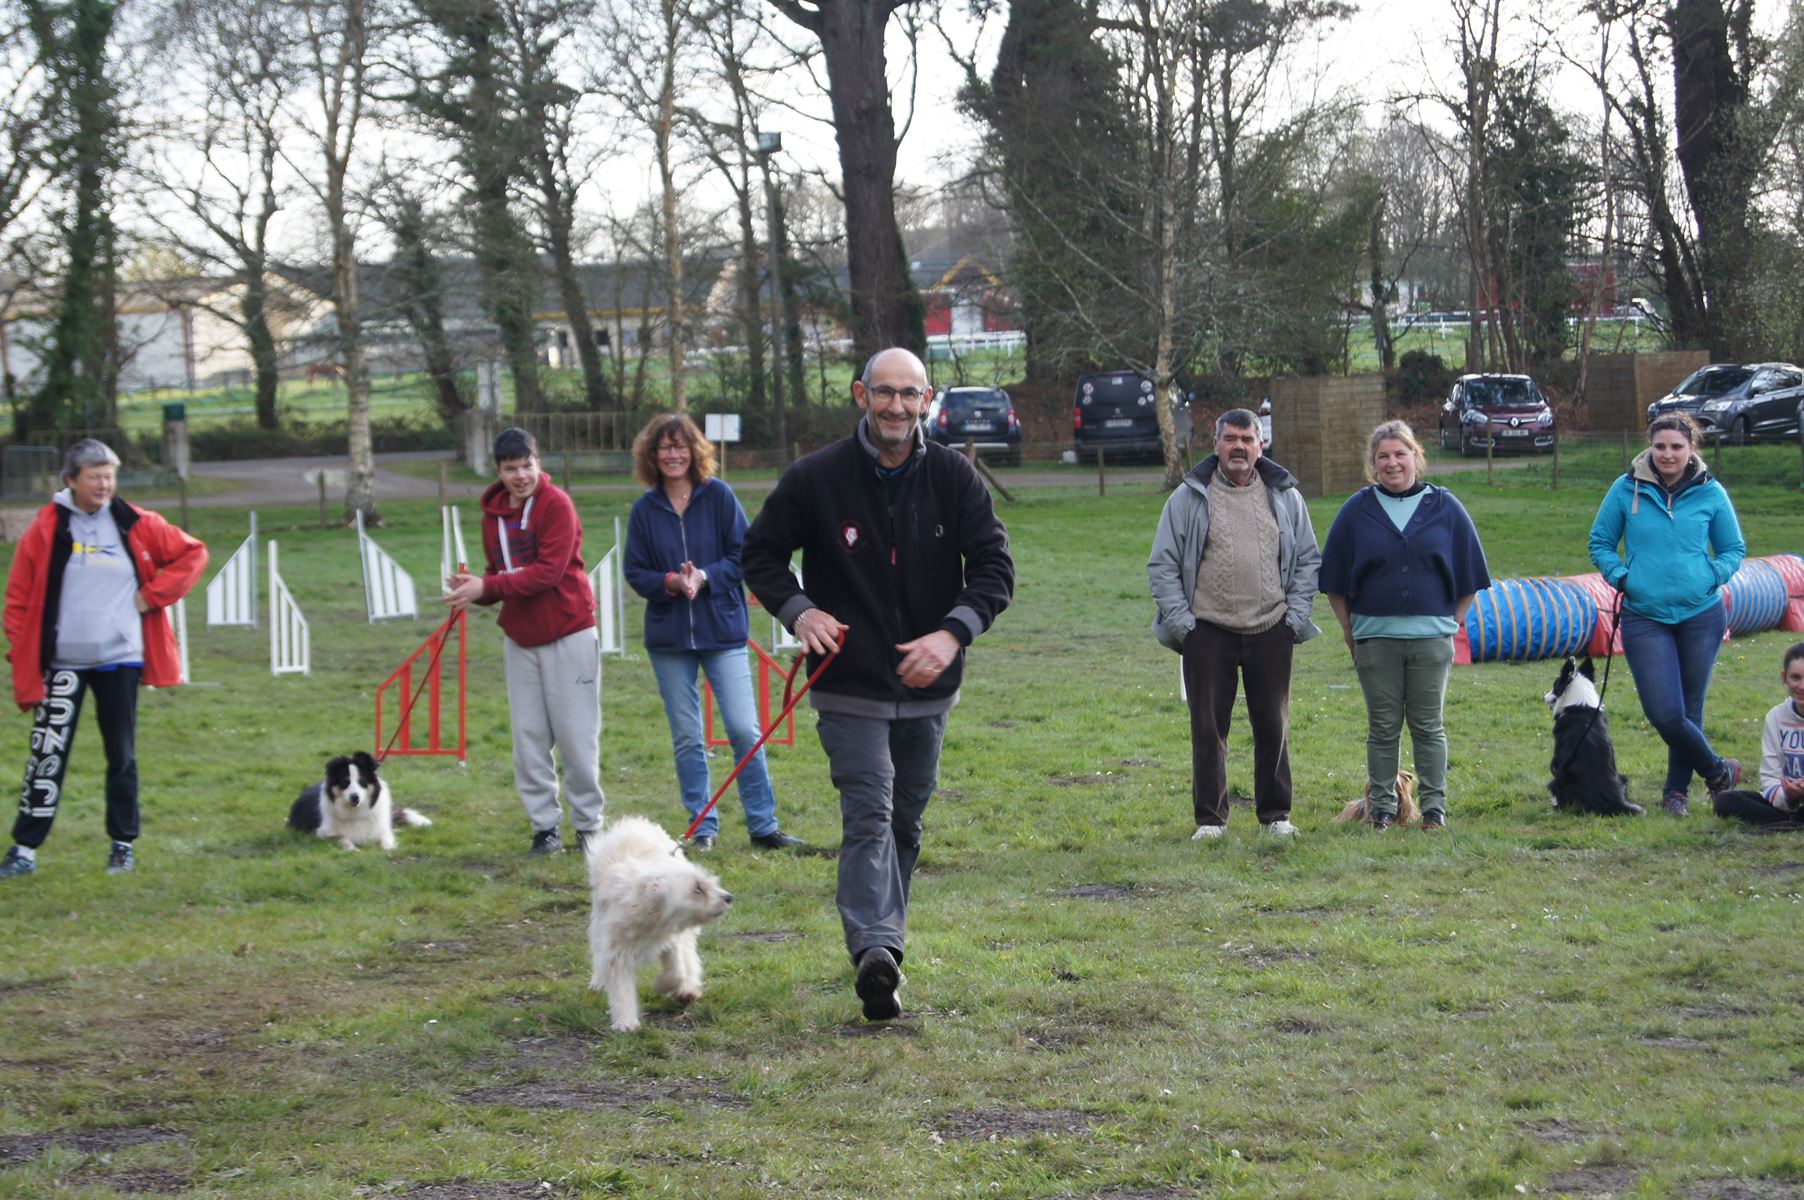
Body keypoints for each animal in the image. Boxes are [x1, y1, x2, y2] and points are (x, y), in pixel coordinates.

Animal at [588, 815, 736, 1032]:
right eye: (697, 889)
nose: (728, 897)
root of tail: (634, 823)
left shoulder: (672, 939)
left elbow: (677, 971)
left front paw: (664, 985)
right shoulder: (616, 948)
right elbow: (619, 985)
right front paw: (625, 1022)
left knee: (689, 958)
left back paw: (688, 990)